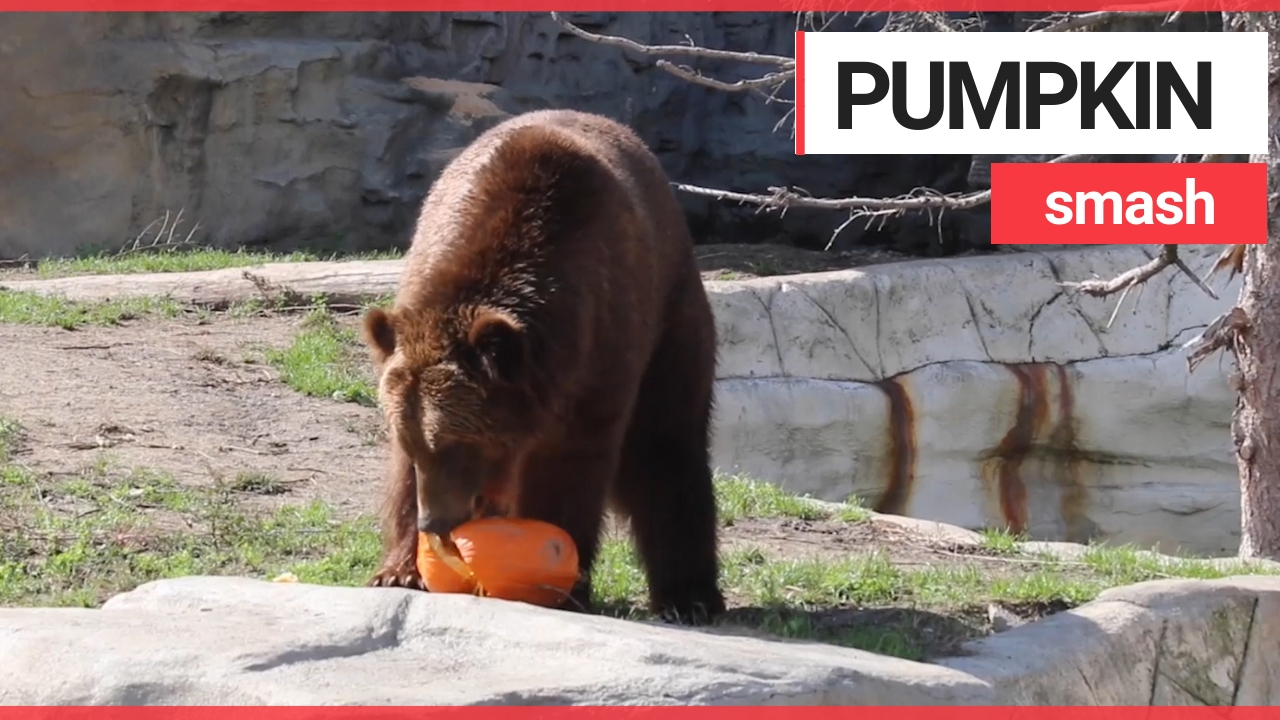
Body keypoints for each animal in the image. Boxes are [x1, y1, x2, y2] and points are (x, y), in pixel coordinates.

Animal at [360, 106, 727, 622]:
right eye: (417, 445)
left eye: (457, 444)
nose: (437, 521)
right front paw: (400, 569)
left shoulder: (597, 347)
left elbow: (571, 465)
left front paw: (559, 576)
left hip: (673, 318)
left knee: (667, 445)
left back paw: (690, 596)